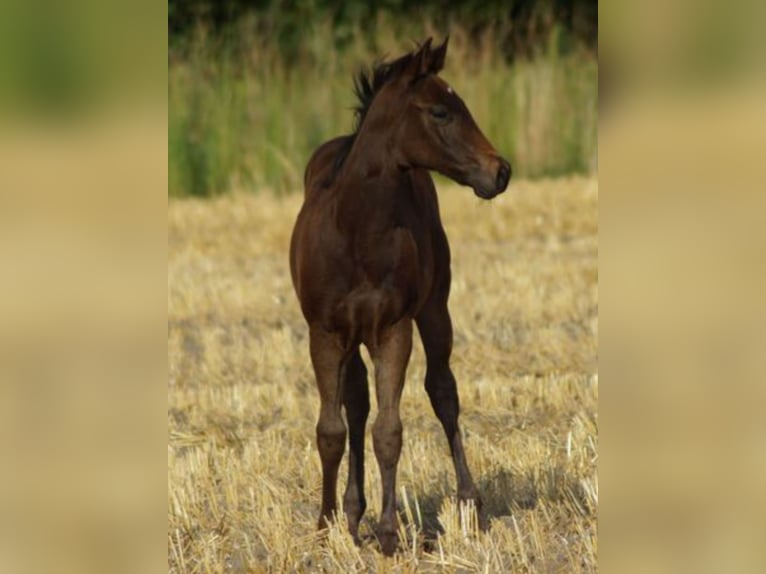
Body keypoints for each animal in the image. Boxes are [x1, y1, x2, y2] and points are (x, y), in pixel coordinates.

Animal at [289, 37, 511, 555]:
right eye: (441, 112)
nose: (501, 171)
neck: (355, 229)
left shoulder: (394, 328)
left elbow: (389, 430)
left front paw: (390, 533)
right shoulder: (324, 332)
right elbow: (331, 429)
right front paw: (326, 526)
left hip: (435, 310)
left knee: (443, 392)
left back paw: (468, 503)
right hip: (353, 338)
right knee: (355, 405)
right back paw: (352, 513)